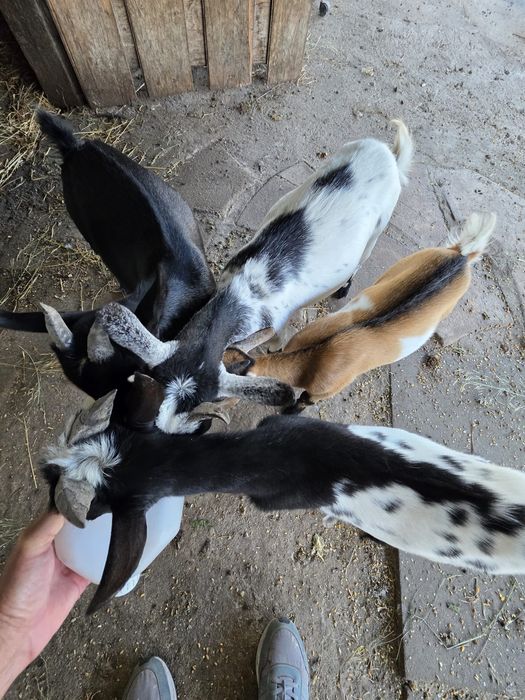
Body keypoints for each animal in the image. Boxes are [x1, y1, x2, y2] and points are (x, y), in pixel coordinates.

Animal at [96, 120, 414, 431]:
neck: (242, 294)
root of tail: (388, 153)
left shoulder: (276, 323)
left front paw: (275, 348)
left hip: (378, 228)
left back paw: (343, 289)